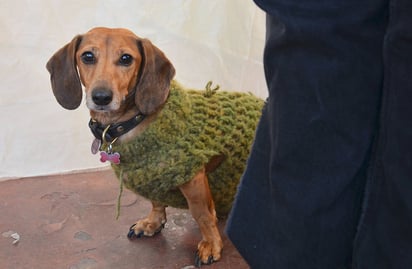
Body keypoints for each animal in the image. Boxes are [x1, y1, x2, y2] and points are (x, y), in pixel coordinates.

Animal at [46, 27, 262, 266]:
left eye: (126, 58)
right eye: (87, 56)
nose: (101, 97)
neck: (131, 122)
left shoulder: (193, 177)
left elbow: (202, 214)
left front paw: (211, 244)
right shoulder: (155, 176)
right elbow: (156, 202)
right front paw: (153, 223)